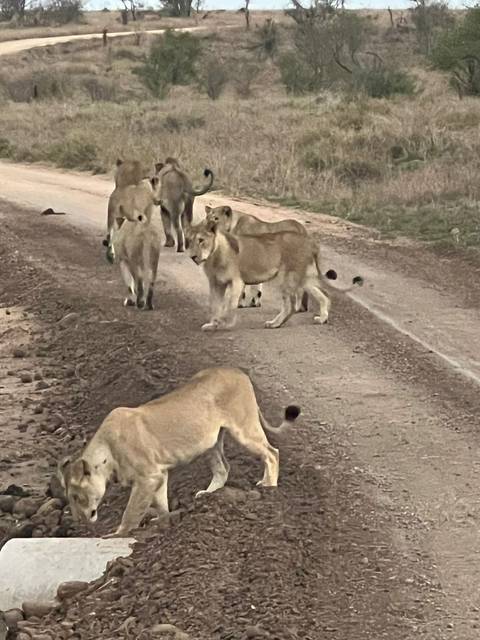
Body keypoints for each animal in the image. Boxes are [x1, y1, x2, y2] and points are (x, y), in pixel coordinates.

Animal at [58, 367, 300, 536]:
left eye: (76, 496)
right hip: (210, 443)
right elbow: (160, 503)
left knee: (271, 452)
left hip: (243, 427)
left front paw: (118, 534)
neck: (106, 454)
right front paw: (165, 522)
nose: (78, 520)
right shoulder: (159, 475)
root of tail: (239, 372)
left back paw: (269, 486)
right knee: (223, 467)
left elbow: (132, 511)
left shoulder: (147, 477)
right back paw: (208, 495)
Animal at [187, 220, 363, 331]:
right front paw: (213, 324)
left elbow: (229, 304)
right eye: (188, 241)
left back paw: (274, 324)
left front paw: (224, 323)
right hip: (304, 278)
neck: (213, 256)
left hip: (288, 278)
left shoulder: (237, 281)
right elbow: (215, 305)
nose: (193, 257)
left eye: (201, 240)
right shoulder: (216, 283)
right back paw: (322, 319)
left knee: (291, 306)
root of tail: (310, 242)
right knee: (324, 296)